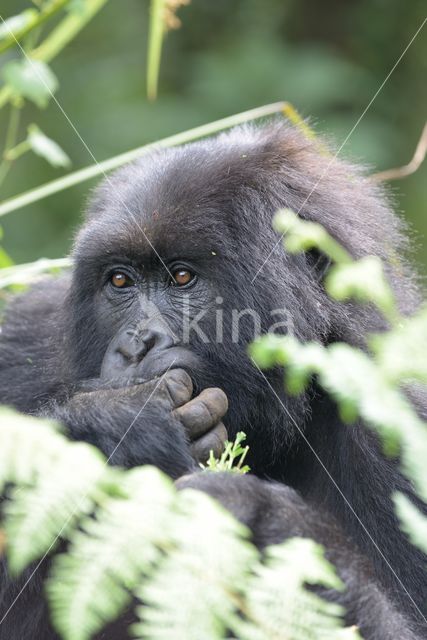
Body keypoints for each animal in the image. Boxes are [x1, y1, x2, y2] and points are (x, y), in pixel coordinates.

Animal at [0, 122, 426, 636]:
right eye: (120, 281)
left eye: (182, 277)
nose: (135, 346)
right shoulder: (21, 338)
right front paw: (116, 426)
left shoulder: (396, 423)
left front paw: (264, 522)